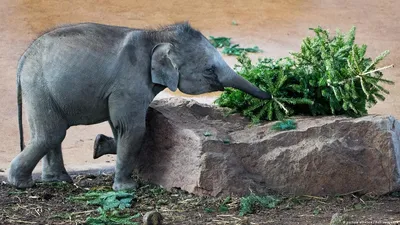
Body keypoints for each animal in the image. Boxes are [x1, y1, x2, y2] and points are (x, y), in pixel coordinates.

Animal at [9, 21, 272, 191]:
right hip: (39, 87)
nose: (270, 94)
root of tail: (23, 60)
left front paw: (98, 144)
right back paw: (21, 183)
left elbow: (120, 127)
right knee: (51, 134)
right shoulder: (130, 82)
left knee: (53, 133)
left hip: (42, 90)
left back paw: (58, 180)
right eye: (209, 70)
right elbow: (134, 129)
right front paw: (127, 189)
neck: (156, 36)